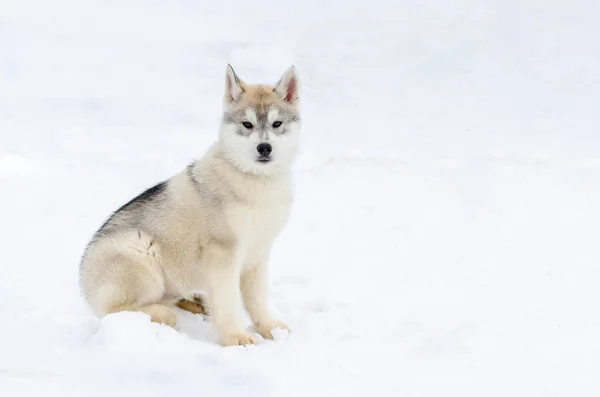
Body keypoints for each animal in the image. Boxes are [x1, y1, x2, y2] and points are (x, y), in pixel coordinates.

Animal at [79, 64, 302, 344]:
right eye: (247, 124)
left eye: (277, 123)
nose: (264, 148)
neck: (255, 181)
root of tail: (83, 282)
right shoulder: (224, 255)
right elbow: (228, 302)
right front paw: (235, 338)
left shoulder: (258, 253)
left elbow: (257, 299)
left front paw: (269, 328)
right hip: (141, 254)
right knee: (114, 310)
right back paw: (162, 314)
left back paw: (194, 300)